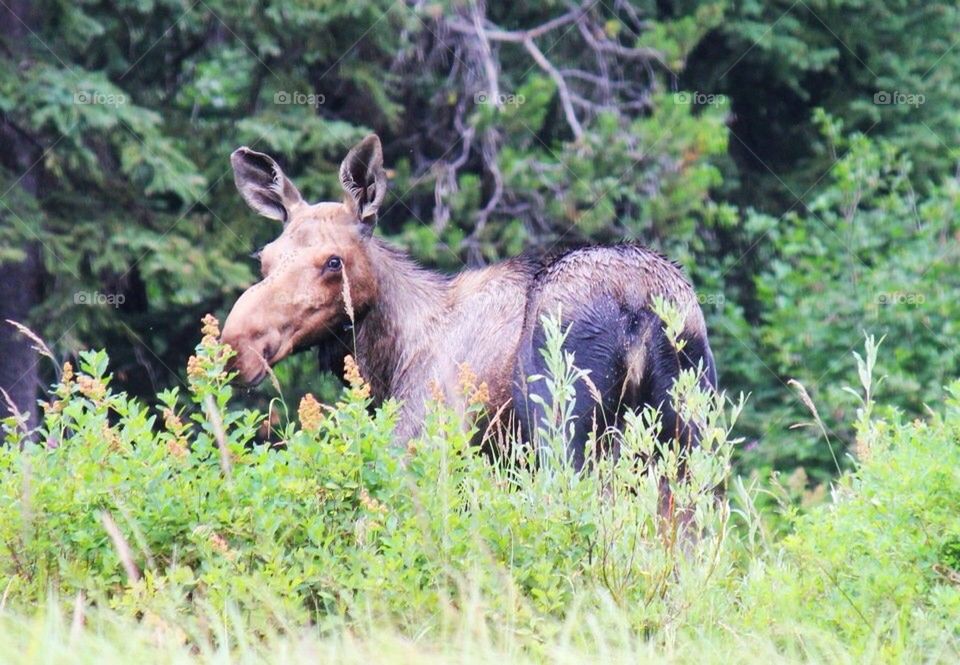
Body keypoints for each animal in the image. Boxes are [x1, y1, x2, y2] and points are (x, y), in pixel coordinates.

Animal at [220, 135, 717, 470]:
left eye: (333, 261)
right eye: (264, 259)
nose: (235, 347)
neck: (388, 359)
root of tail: (638, 305)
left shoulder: (424, 443)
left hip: (562, 426)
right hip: (689, 428)